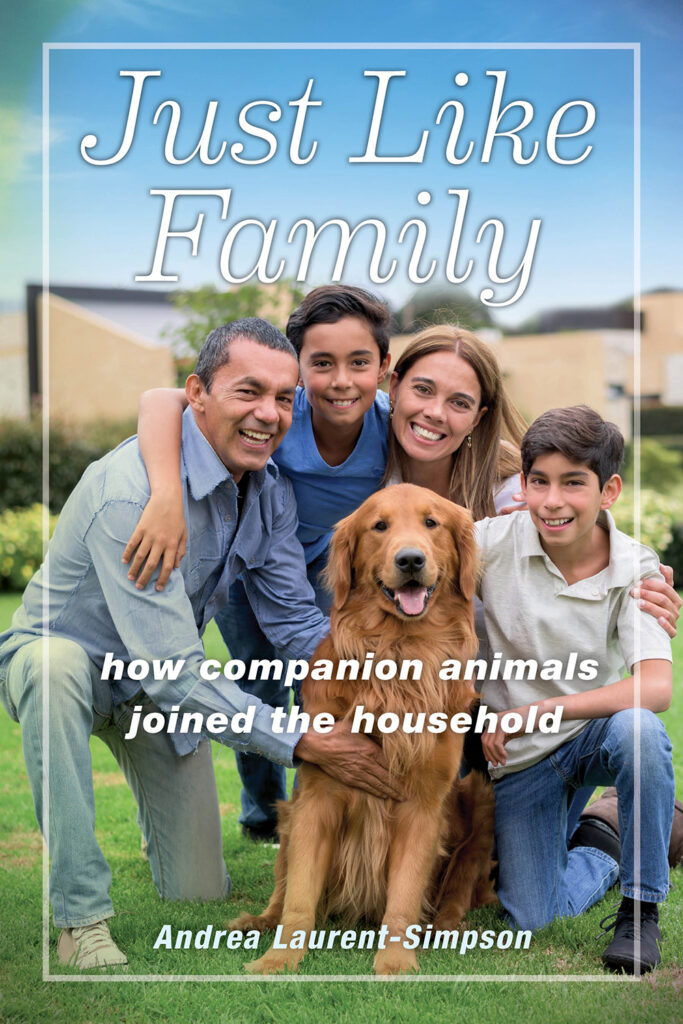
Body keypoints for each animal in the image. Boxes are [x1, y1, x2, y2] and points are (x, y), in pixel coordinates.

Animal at [232, 483, 493, 970]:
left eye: (432, 523)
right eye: (379, 526)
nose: (410, 560)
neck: (399, 651)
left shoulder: (423, 804)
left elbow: (404, 897)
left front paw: (395, 962)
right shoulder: (317, 797)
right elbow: (299, 896)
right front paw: (280, 959)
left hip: (481, 801)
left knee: (456, 891)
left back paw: (447, 928)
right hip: (289, 813)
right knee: (281, 889)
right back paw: (259, 920)